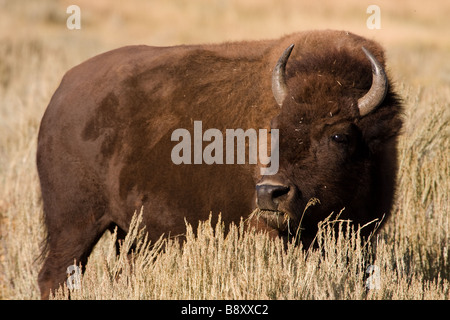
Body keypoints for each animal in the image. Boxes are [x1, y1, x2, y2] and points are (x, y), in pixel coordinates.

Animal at [36, 29, 400, 298]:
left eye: (339, 135)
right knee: (56, 276)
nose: (270, 193)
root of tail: (60, 94)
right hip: (74, 224)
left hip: (131, 234)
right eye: (275, 128)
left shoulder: (364, 237)